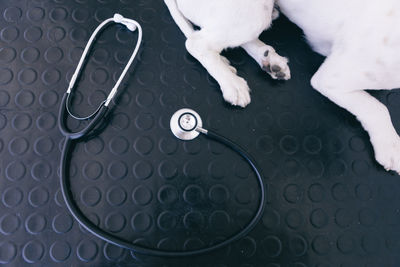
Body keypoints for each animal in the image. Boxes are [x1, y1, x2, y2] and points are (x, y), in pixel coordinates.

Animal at [164, 0, 400, 175]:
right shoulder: (331, 77)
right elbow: (377, 108)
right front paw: (391, 145)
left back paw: (269, 61)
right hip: (253, 11)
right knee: (197, 43)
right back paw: (231, 82)